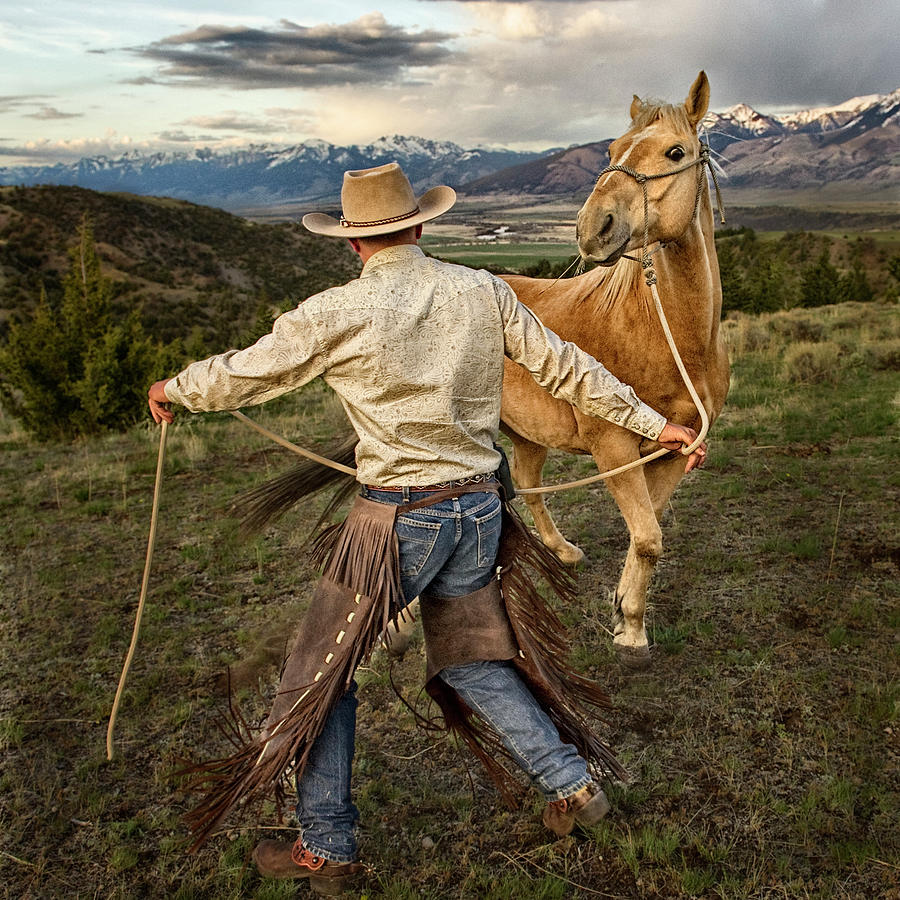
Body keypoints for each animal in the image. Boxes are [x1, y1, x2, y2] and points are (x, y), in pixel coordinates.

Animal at [500, 72, 732, 668]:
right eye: (610, 151)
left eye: (675, 152)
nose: (592, 227)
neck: (671, 340)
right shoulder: (614, 448)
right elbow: (648, 535)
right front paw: (630, 627)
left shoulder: (673, 451)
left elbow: (644, 534)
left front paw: (627, 613)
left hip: (526, 434)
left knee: (529, 485)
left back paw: (561, 552)